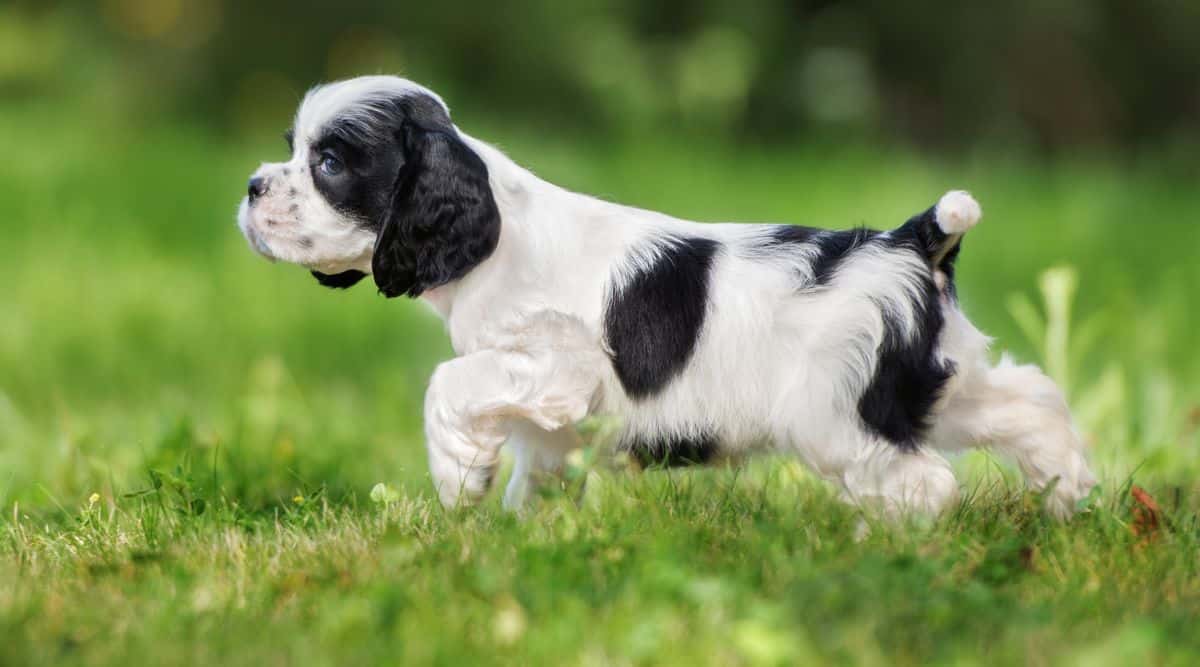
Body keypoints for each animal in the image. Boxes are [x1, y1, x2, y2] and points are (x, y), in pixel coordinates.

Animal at [234, 76, 1099, 515]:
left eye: (330, 163)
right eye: (292, 152)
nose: (251, 187)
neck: (496, 231)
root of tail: (910, 240)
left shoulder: (557, 361)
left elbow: (450, 384)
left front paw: (457, 477)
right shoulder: (553, 410)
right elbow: (535, 466)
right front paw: (521, 533)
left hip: (840, 417)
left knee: (927, 484)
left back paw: (892, 551)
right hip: (937, 382)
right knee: (1032, 405)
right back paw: (1073, 500)